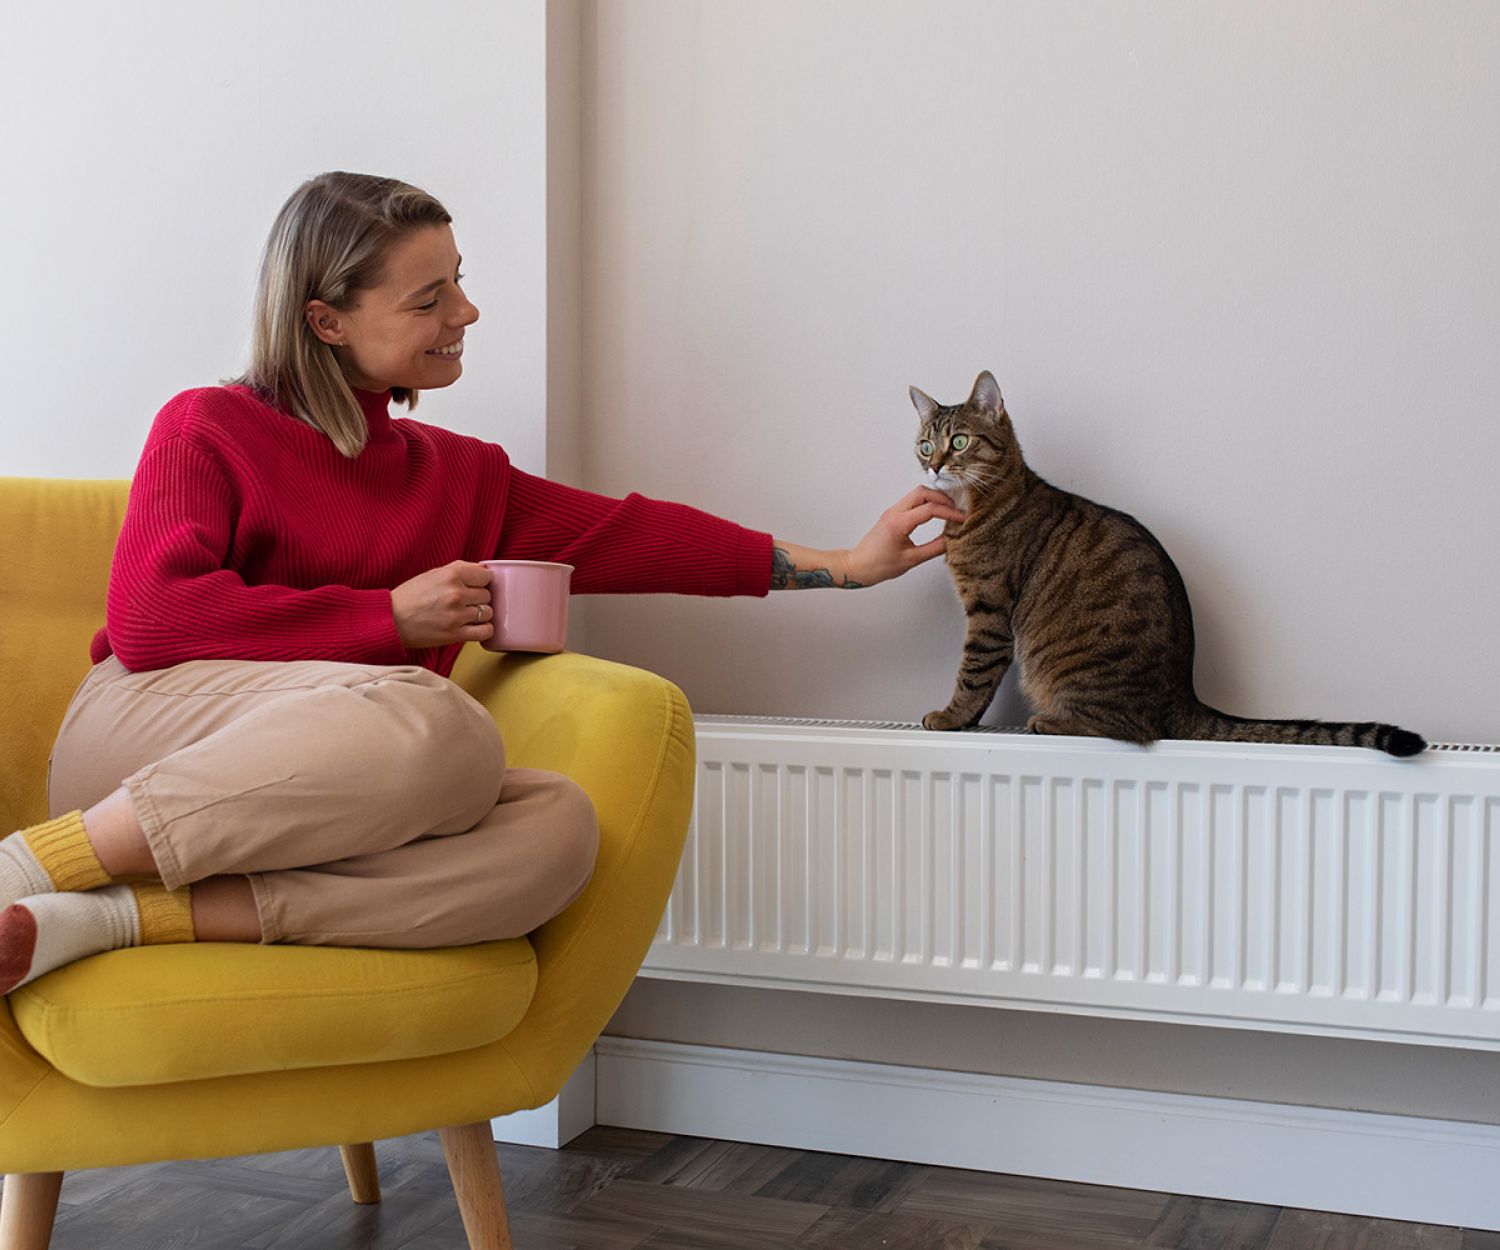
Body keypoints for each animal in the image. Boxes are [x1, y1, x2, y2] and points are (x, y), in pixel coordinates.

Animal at [912, 370, 1428, 756]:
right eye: (925, 446)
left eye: (960, 442)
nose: (934, 466)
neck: (976, 506)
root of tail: (1183, 697)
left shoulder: (989, 610)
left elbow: (974, 674)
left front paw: (951, 717)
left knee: (1132, 728)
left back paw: (1049, 721)